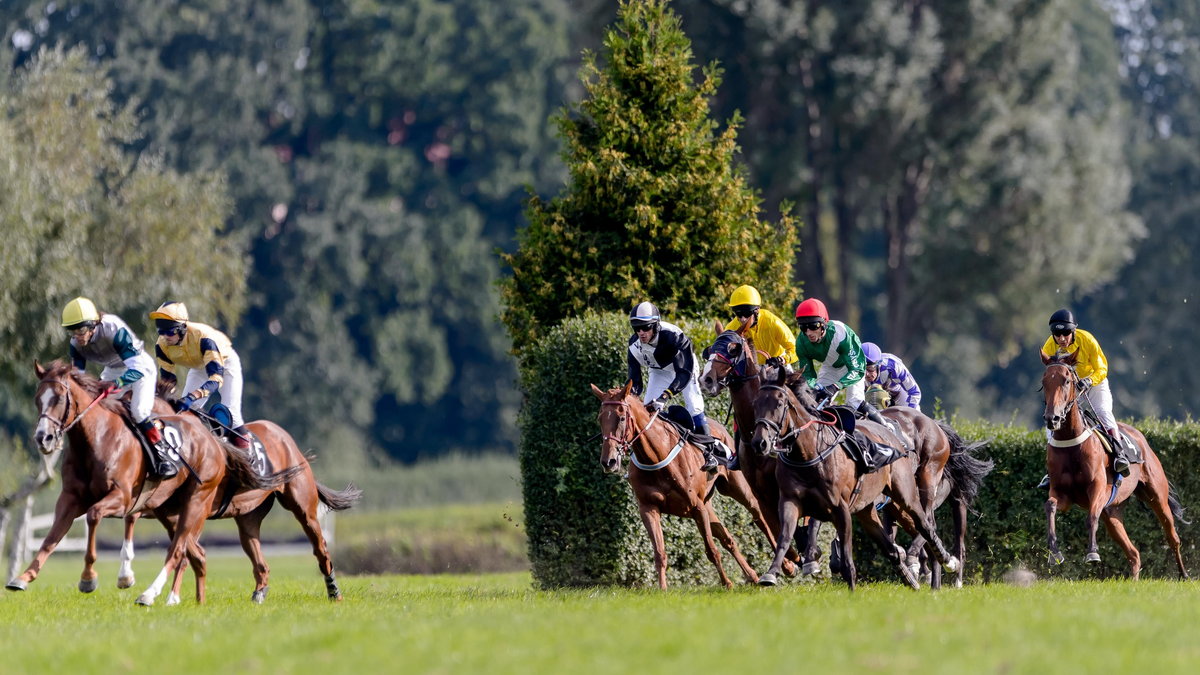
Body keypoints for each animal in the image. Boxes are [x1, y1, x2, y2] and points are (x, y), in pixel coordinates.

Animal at [7, 360, 290, 600]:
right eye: (37, 400)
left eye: (58, 398)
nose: (43, 438)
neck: (96, 439)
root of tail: (214, 443)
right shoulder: (71, 498)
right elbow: (52, 537)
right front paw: (23, 577)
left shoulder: (123, 498)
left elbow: (96, 516)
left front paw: (94, 578)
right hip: (179, 511)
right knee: (196, 552)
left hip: (197, 502)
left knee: (182, 550)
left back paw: (160, 595)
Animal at [592, 381, 777, 586]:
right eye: (600, 419)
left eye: (622, 418)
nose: (608, 461)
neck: (654, 456)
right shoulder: (649, 509)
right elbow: (660, 553)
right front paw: (663, 588)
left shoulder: (696, 507)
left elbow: (711, 551)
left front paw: (726, 583)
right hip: (708, 505)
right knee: (728, 538)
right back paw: (752, 575)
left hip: (737, 489)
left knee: (759, 516)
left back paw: (786, 564)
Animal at [700, 324, 801, 571]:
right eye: (710, 350)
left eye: (733, 348)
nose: (706, 380)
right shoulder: (758, 488)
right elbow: (773, 523)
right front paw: (790, 561)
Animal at [748, 367, 955, 588]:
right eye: (755, 404)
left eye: (779, 404)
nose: (760, 443)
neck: (808, 453)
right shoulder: (790, 501)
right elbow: (785, 537)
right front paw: (771, 573)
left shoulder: (841, 507)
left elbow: (844, 551)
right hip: (870, 509)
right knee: (892, 547)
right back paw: (915, 579)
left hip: (912, 490)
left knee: (926, 525)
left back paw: (946, 563)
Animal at [1041, 348, 1190, 576]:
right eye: (1044, 381)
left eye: (1066, 380)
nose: (1052, 418)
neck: (1071, 442)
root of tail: (1140, 436)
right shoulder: (1062, 493)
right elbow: (1050, 507)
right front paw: (1054, 553)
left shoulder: (1098, 489)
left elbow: (1091, 517)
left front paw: (1092, 553)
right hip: (1112, 513)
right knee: (1134, 554)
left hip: (1157, 496)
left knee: (1172, 537)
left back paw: (1183, 574)